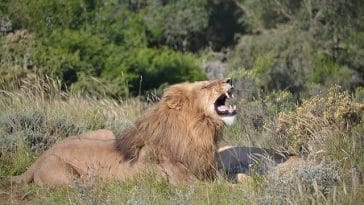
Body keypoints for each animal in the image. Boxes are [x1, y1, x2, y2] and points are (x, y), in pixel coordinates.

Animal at [10, 78, 236, 186]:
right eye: (205, 86)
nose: (230, 80)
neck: (200, 131)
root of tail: (41, 156)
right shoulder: (184, 181)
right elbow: (222, 189)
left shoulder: (210, 171)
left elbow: (238, 178)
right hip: (64, 173)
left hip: (105, 133)